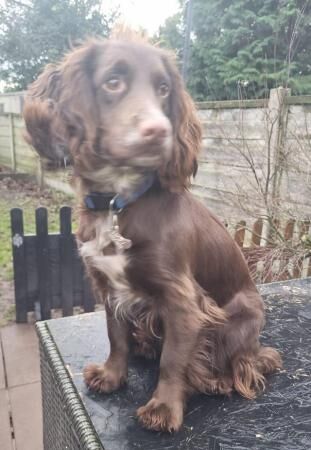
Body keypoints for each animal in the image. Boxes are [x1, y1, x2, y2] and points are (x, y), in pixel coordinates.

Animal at [23, 36, 282, 432]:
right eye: (113, 82)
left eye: (163, 89)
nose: (159, 131)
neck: (118, 201)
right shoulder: (108, 285)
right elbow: (115, 336)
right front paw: (112, 376)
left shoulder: (184, 300)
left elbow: (173, 359)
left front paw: (163, 408)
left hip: (238, 322)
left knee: (247, 362)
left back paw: (221, 378)